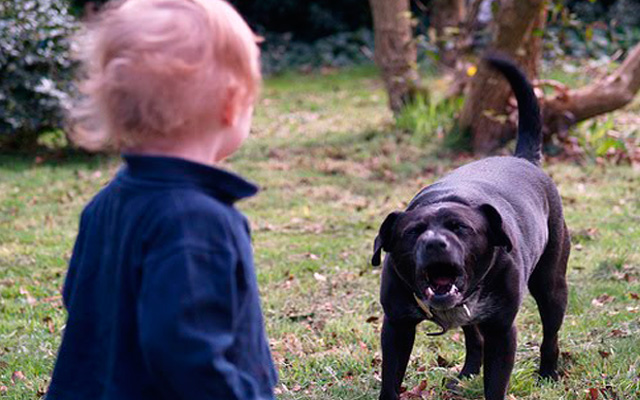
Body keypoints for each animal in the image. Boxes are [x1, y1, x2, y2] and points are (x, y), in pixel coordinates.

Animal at [372, 55, 570, 400]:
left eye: (461, 228)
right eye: (413, 232)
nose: (435, 242)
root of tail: (524, 160)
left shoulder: (502, 330)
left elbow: (496, 383)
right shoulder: (396, 326)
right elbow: (390, 378)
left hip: (552, 285)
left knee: (550, 335)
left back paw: (548, 373)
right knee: (473, 338)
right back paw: (467, 372)